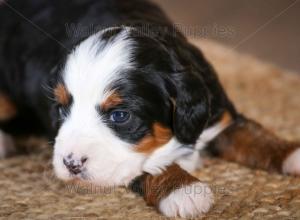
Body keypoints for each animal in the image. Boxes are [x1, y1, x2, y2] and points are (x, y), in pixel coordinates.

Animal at [0, 0, 300, 217]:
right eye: (62, 110)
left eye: (120, 115)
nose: (71, 164)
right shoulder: (123, 162)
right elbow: (147, 166)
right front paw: (184, 190)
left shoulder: (218, 114)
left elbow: (252, 134)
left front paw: (290, 153)